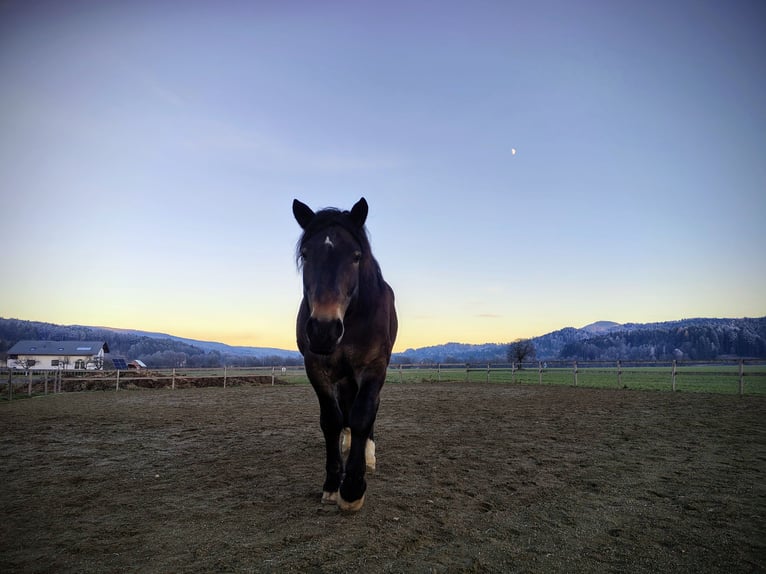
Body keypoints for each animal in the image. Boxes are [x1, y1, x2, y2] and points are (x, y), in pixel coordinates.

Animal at [292, 197, 398, 512]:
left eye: (355, 256)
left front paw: (352, 489)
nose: (323, 329)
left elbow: (364, 414)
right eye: (305, 254)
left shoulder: (374, 366)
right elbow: (332, 419)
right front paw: (331, 484)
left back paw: (368, 454)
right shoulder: (317, 367)